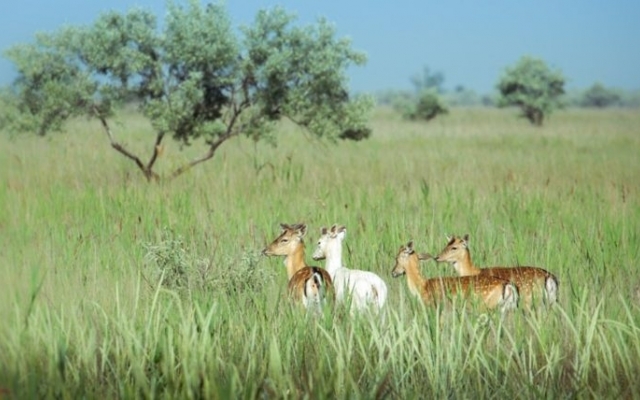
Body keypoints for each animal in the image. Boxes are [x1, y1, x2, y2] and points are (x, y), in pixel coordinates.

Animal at [390, 241, 520, 312]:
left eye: (397, 258)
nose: (393, 272)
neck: (422, 286)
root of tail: (508, 286)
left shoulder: (434, 307)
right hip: (507, 308)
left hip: (486, 306)